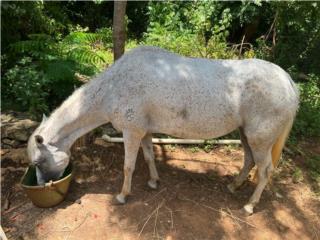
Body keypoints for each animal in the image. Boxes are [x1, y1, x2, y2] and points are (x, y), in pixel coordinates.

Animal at [26, 46, 298, 215]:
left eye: (38, 162)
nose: (41, 185)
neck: (115, 87)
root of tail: (287, 81)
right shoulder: (145, 132)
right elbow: (148, 157)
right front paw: (154, 181)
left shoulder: (132, 132)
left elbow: (129, 166)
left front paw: (123, 196)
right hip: (246, 135)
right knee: (249, 161)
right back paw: (234, 186)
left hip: (260, 139)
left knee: (265, 171)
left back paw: (250, 205)